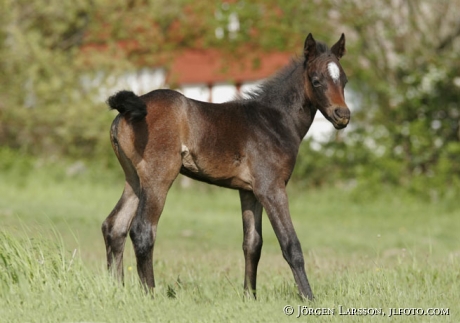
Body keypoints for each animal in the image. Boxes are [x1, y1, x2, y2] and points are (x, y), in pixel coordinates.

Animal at [102, 33, 350, 302]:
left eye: (344, 80)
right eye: (316, 80)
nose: (343, 115)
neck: (272, 121)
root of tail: (128, 110)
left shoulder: (249, 192)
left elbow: (252, 244)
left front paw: (250, 297)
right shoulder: (271, 188)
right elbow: (290, 244)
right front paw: (308, 298)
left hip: (135, 180)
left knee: (114, 227)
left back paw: (115, 289)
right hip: (158, 179)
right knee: (142, 230)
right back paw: (150, 294)